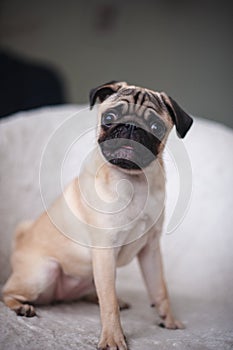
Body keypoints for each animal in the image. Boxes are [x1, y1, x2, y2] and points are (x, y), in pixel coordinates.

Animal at [2, 82, 193, 350]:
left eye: (156, 127)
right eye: (109, 118)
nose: (131, 126)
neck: (133, 181)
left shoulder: (151, 250)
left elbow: (159, 288)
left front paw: (169, 319)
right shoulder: (104, 251)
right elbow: (108, 303)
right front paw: (113, 337)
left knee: (95, 292)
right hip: (42, 273)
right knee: (6, 291)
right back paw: (21, 306)